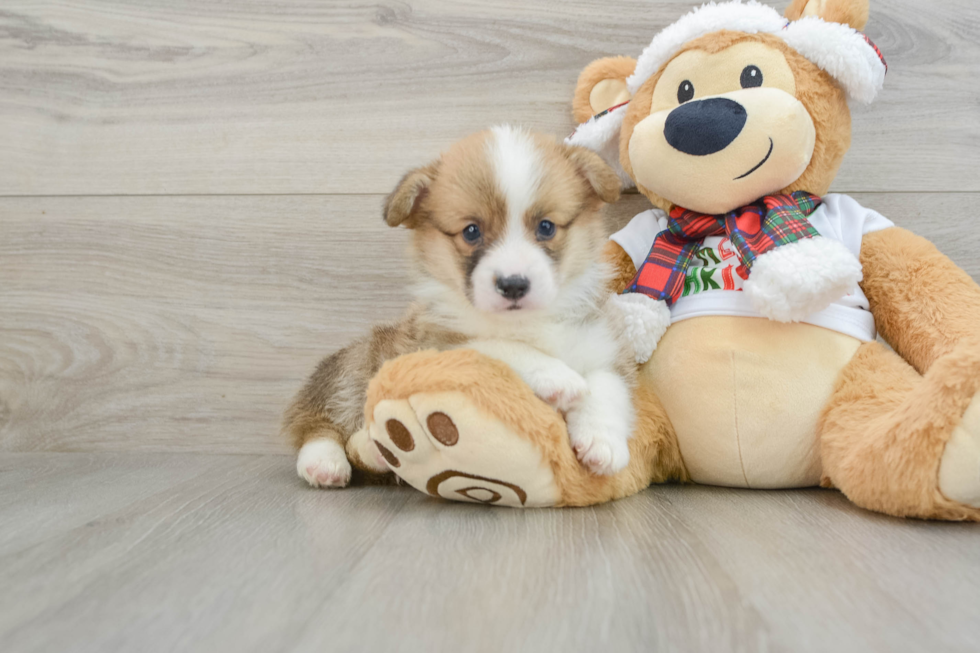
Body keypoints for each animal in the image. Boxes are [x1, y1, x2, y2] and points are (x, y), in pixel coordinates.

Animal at [284, 123, 648, 488]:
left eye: (546, 227)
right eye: (471, 231)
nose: (513, 284)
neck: (524, 323)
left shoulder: (603, 345)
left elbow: (606, 387)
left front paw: (602, 442)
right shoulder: (436, 347)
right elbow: (496, 348)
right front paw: (556, 376)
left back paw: (378, 452)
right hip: (353, 368)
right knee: (316, 422)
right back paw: (325, 462)